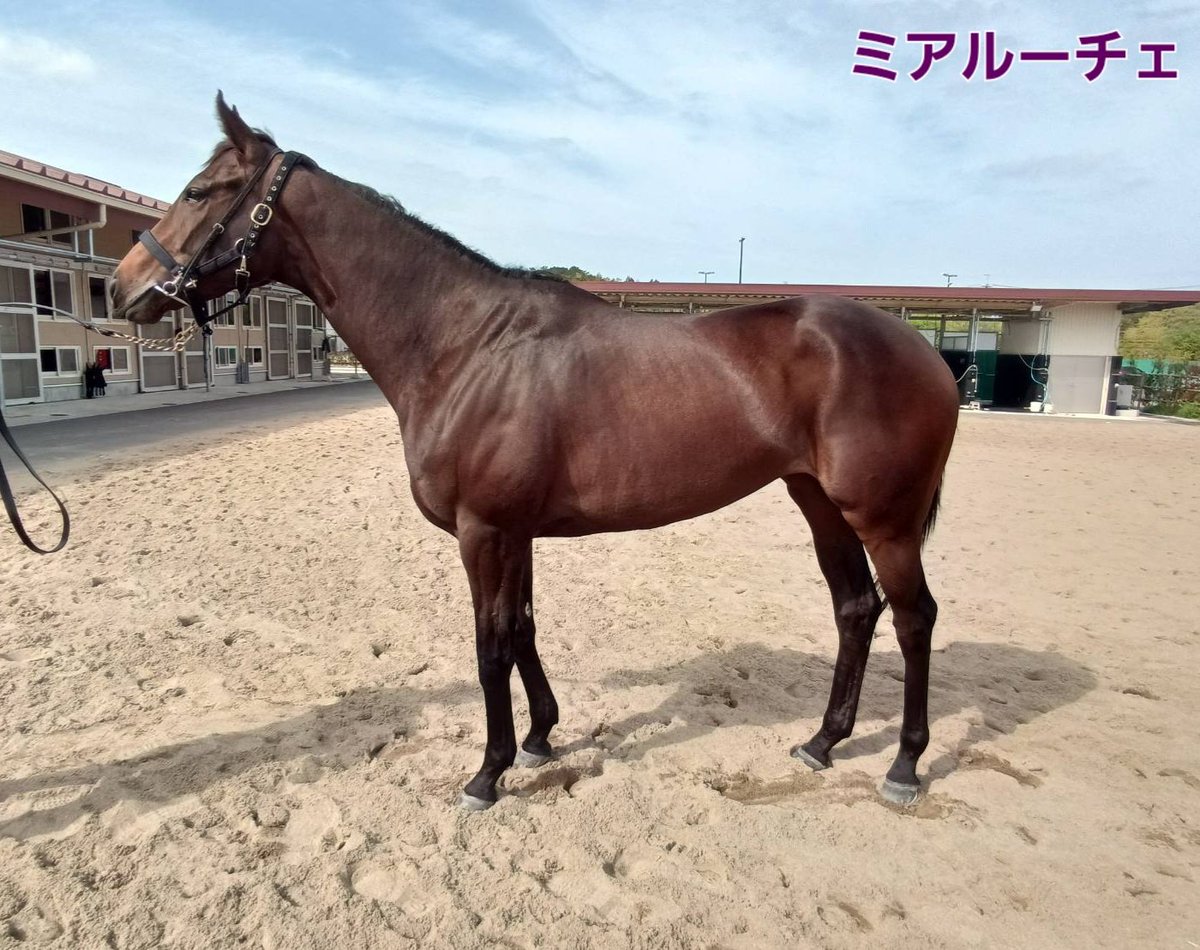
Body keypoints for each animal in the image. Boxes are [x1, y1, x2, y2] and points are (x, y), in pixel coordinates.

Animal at [111, 94, 959, 811]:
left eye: (201, 191)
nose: (124, 287)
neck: (465, 344)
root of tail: (927, 349)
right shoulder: (512, 530)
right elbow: (521, 628)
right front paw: (541, 736)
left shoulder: (483, 531)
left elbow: (489, 646)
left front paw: (487, 774)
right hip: (818, 502)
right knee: (856, 609)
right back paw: (822, 742)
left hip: (882, 518)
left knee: (913, 617)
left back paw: (904, 765)